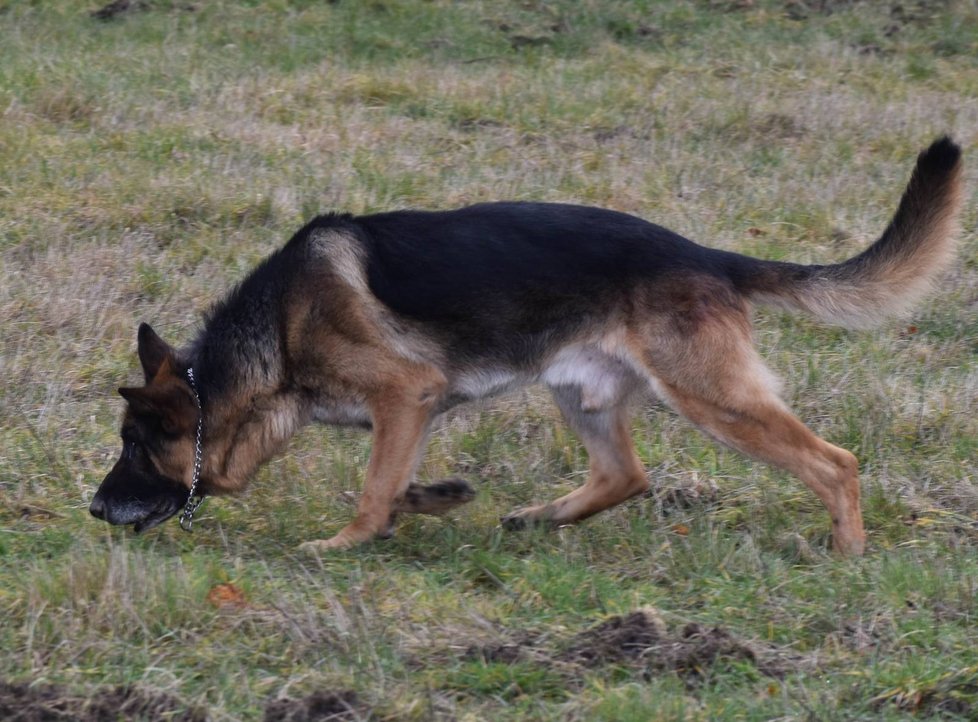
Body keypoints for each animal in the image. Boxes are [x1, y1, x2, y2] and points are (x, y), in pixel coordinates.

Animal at [89, 138, 960, 556]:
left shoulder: (405, 394)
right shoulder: (411, 415)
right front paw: (430, 500)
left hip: (713, 399)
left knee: (834, 462)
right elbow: (392, 481)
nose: (94, 510)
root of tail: (707, 257)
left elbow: (371, 490)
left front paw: (343, 542)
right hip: (579, 393)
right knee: (626, 475)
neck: (275, 331)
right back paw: (538, 519)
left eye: (135, 446)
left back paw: (847, 552)